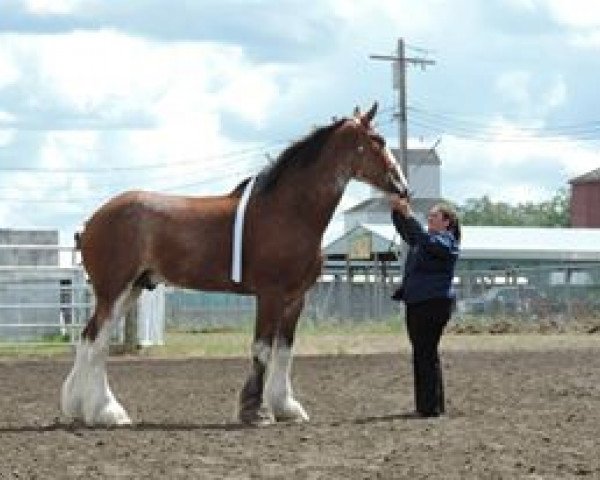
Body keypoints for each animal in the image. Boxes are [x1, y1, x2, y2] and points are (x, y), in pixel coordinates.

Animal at [59, 103, 408, 426]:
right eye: (378, 140)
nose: (402, 187)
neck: (289, 211)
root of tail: (91, 222)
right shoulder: (270, 294)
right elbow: (262, 349)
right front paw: (255, 412)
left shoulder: (295, 298)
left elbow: (284, 350)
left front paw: (286, 407)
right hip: (114, 291)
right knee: (97, 342)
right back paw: (107, 412)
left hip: (132, 289)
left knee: (89, 339)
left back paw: (80, 408)